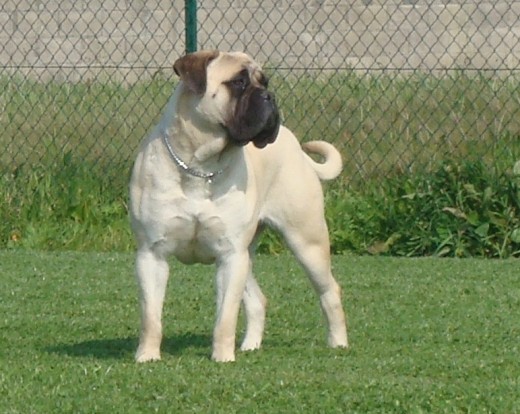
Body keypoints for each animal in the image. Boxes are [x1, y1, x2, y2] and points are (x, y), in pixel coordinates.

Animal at [130, 49, 350, 362]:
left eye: (264, 81)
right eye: (238, 83)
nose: (269, 96)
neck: (201, 166)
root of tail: (296, 147)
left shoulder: (231, 255)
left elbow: (226, 317)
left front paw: (222, 357)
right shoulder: (152, 254)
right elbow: (151, 316)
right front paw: (147, 356)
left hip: (306, 242)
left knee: (329, 290)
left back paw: (338, 342)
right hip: (249, 255)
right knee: (258, 299)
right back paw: (250, 346)